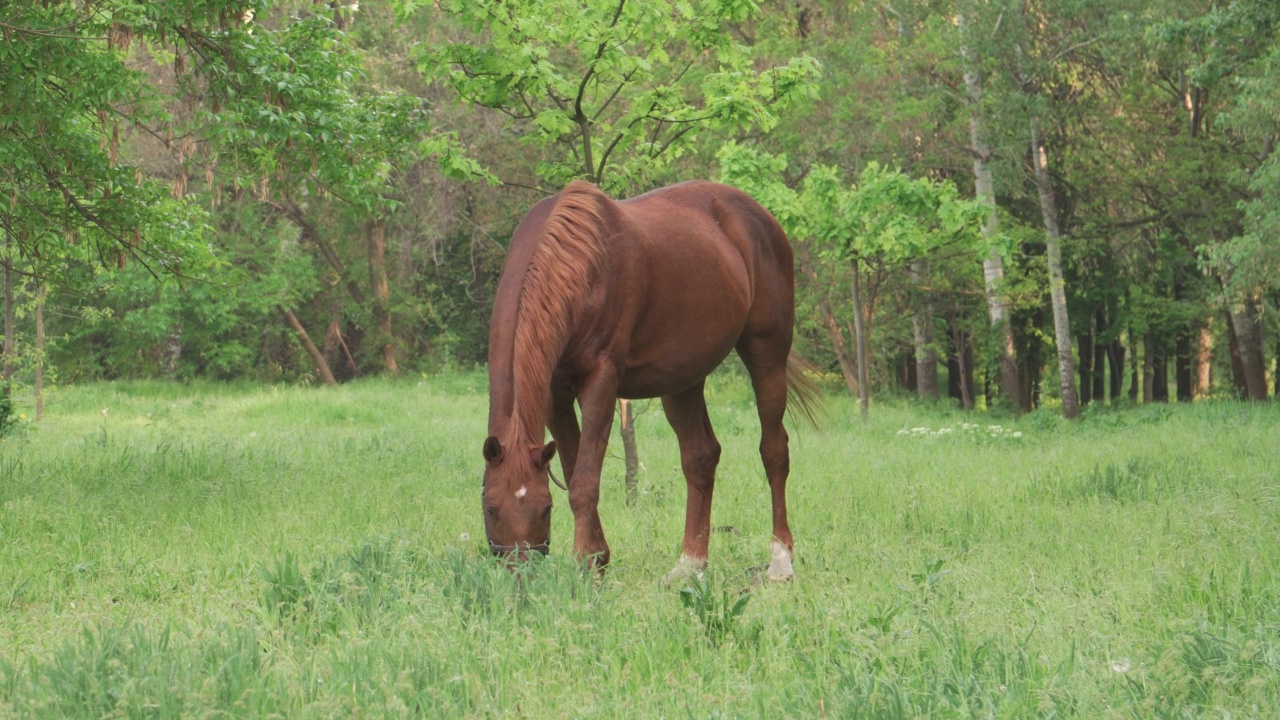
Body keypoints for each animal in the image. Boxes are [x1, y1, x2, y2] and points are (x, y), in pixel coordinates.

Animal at [481, 176, 819, 579]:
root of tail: (763, 218)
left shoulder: (601, 381)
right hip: (682, 379)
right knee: (700, 456)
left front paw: (586, 566)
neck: (576, 263)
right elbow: (573, 464)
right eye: (490, 507)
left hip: (767, 354)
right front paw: (598, 559)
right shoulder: (556, 393)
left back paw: (780, 559)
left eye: (545, 508)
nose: (519, 574)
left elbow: (583, 482)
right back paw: (690, 563)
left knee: (774, 450)